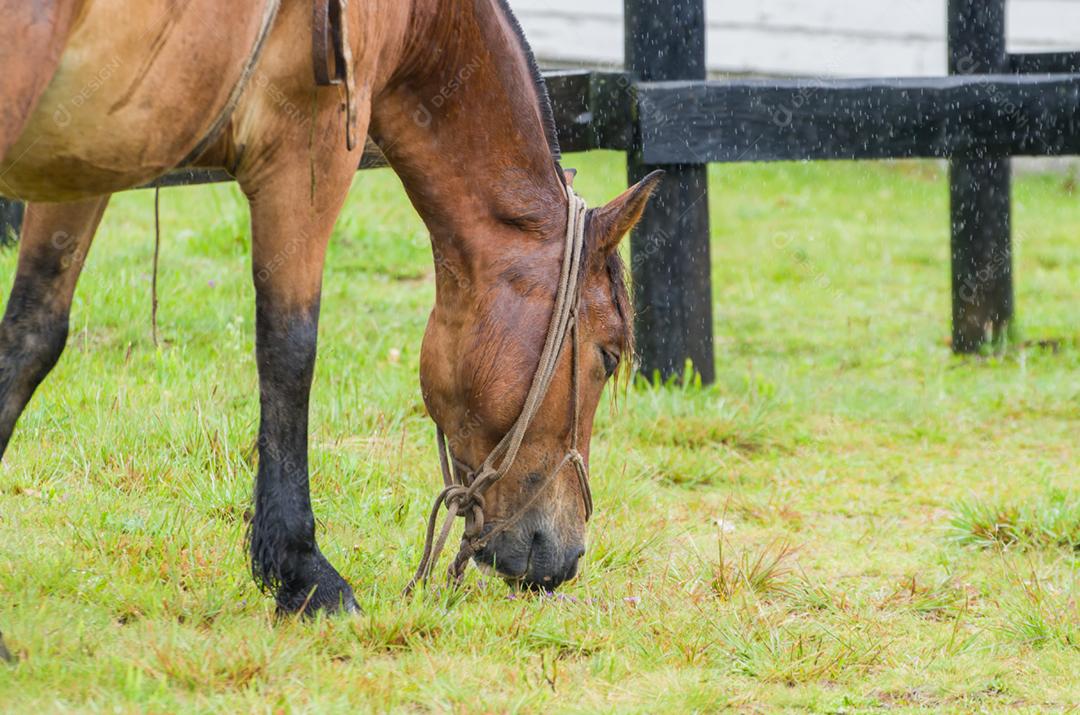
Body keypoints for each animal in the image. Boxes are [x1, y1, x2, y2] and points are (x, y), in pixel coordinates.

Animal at [0, 0, 661, 644]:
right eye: (607, 356)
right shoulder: (309, 153)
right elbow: (290, 352)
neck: (416, 17)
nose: (569, 559)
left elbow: (30, 338)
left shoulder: (83, 159)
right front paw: (305, 575)